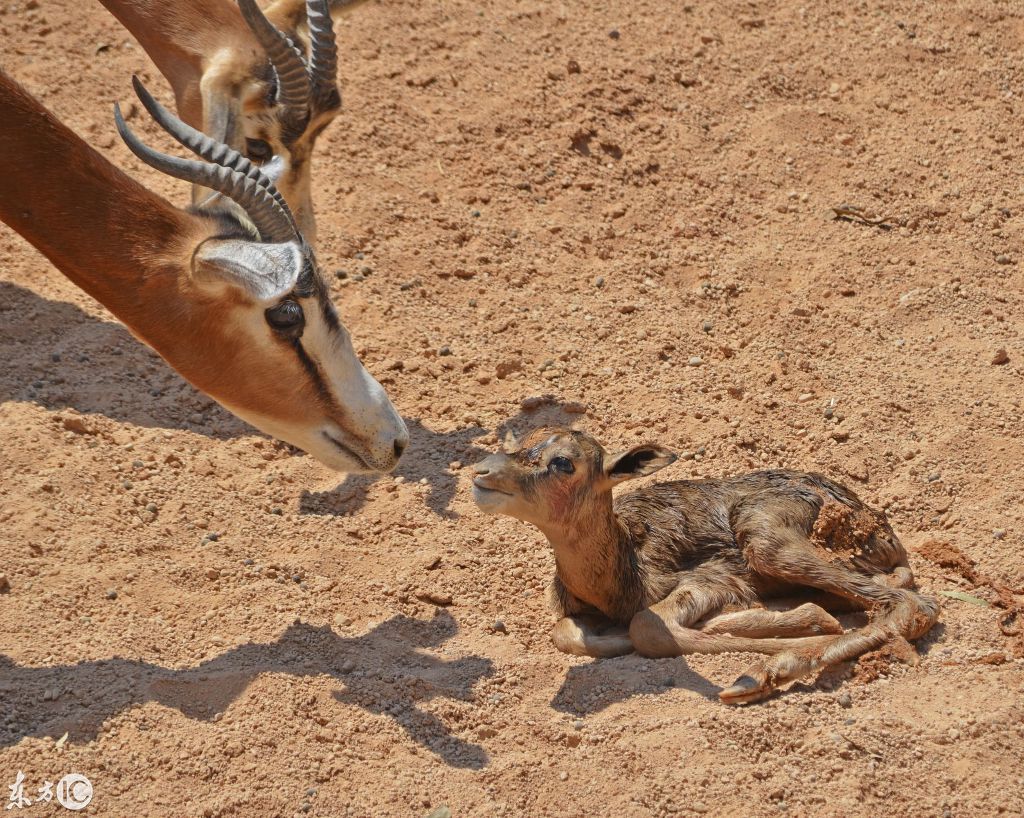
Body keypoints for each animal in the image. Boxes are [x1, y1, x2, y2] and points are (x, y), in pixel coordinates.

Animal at [471, 427, 937, 704]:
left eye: (563, 462)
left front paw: (806, 627)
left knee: (916, 606)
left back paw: (759, 674)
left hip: (766, 540)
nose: (482, 471)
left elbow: (647, 627)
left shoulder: (712, 581)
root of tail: (881, 527)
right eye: (520, 441)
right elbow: (566, 633)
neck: (622, 572)